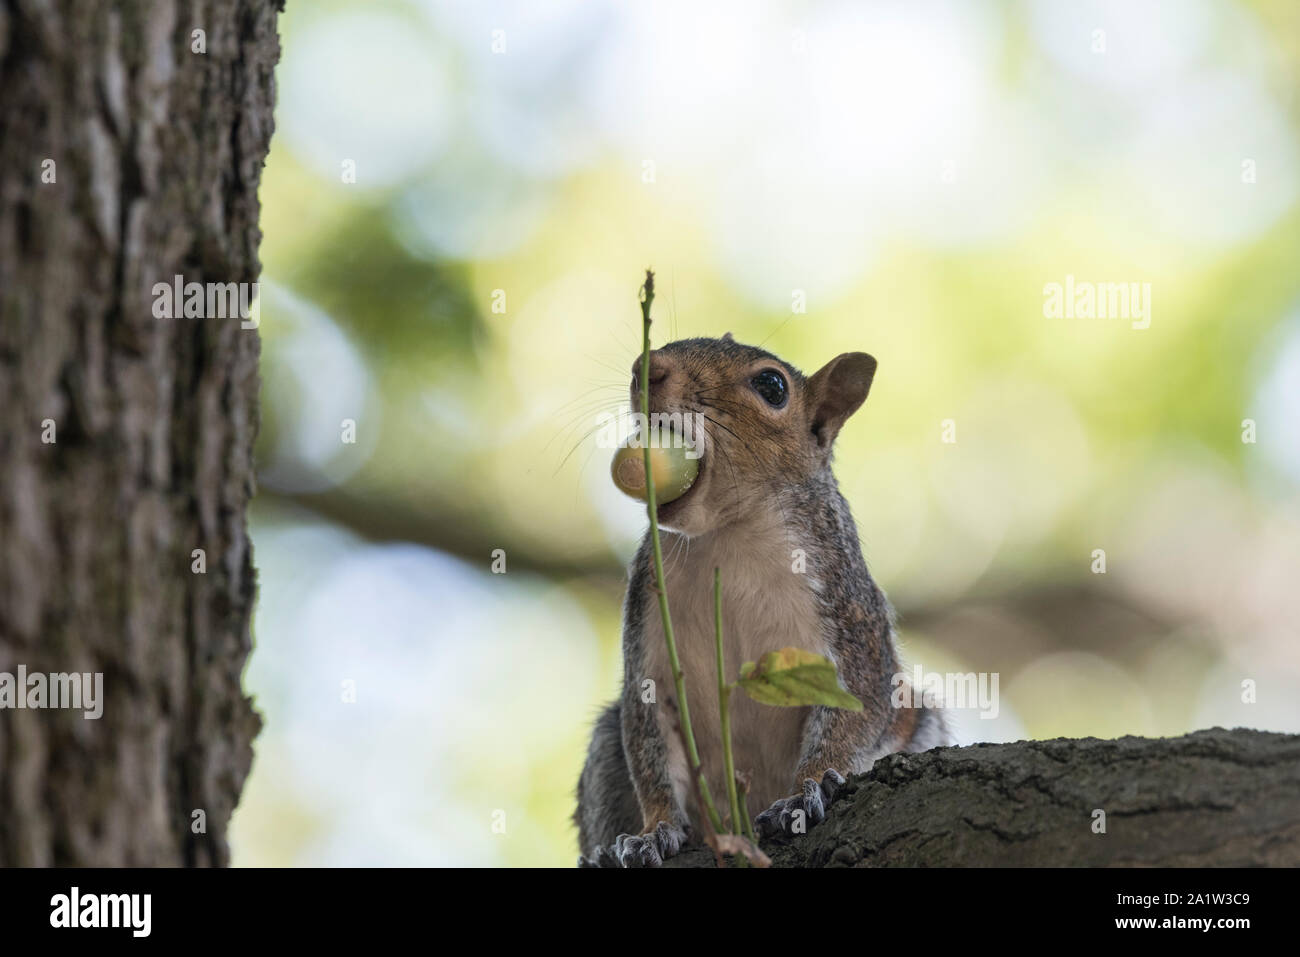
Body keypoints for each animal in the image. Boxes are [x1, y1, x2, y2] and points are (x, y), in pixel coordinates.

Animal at [574, 334, 951, 868]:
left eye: (772, 386)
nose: (648, 369)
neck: (727, 534)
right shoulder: (648, 633)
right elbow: (650, 753)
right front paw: (654, 830)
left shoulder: (851, 616)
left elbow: (856, 711)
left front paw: (807, 791)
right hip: (606, 750)